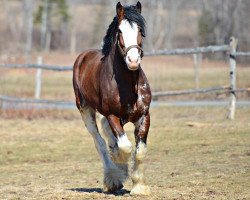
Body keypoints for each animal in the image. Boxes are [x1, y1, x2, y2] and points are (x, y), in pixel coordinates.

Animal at [71, 1, 151, 195]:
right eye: (120, 31)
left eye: (140, 30)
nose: (133, 61)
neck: (128, 85)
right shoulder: (112, 116)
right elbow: (125, 147)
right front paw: (119, 169)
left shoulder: (144, 116)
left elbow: (140, 151)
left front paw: (139, 187)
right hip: (85, 110)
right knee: (99, 142)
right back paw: (112, 179)